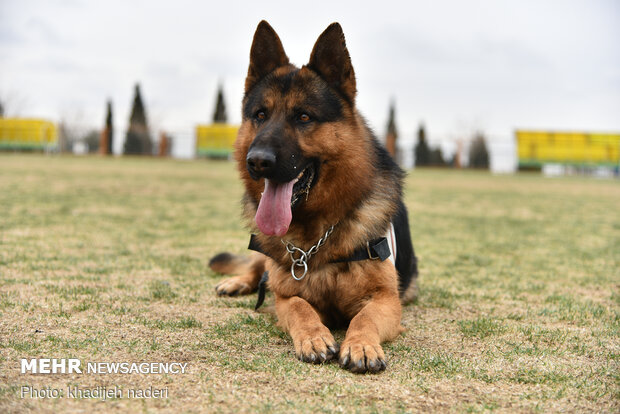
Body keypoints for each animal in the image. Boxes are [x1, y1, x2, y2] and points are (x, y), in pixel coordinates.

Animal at [211, 21, 418, 374]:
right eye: (260, 115)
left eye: (304, 117)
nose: (257, 161)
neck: (316, 238)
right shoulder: (283, 297)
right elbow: (299, 307)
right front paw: (314, 337)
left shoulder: (386, 300)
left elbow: (364, 318)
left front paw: (361, 345)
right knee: (257, 266)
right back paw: (236, 281)